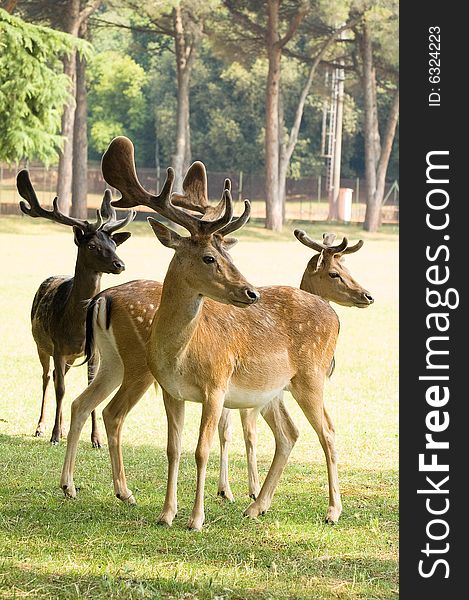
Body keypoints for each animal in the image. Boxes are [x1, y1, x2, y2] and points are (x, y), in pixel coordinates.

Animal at [17, 169, 134, 446]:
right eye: (91, 245)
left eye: (114, 244)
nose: (120, 264)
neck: (76, 326)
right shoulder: (58, 347)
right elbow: (60, 389)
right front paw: (55, 436)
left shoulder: (94, 352)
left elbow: (90, 389)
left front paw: (96, 439)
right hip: (41, 345)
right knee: (48, 379)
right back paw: (42, 427)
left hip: (69, 357)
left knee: (58, 377)